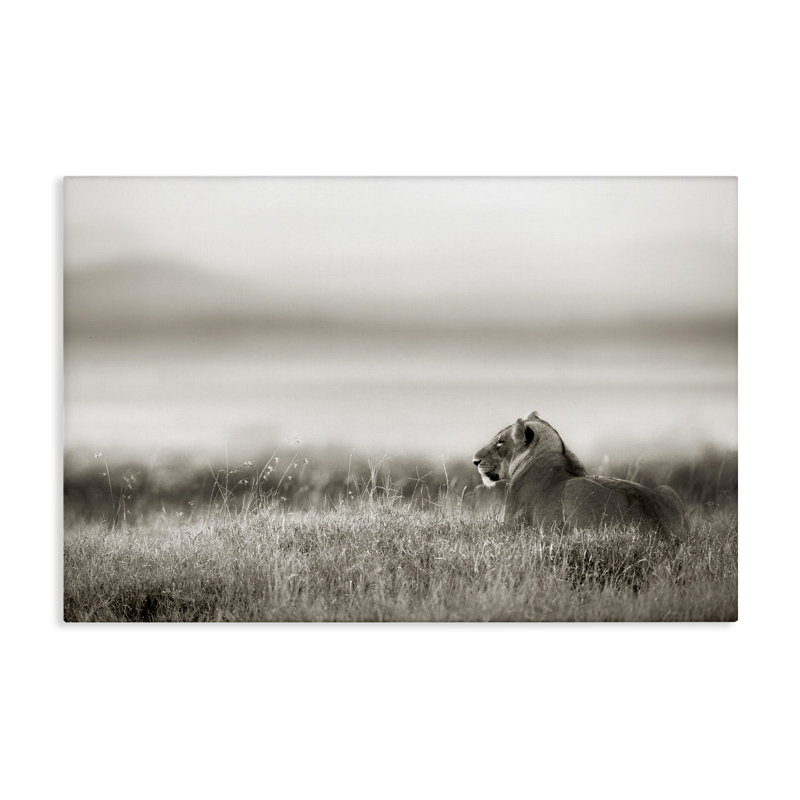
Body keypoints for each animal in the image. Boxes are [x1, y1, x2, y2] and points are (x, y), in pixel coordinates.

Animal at [472, 411, 688, 539]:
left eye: (500, 442)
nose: (475, 460)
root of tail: (663, 533)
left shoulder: (510, 526)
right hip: (668, 490)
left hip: (574, 489)